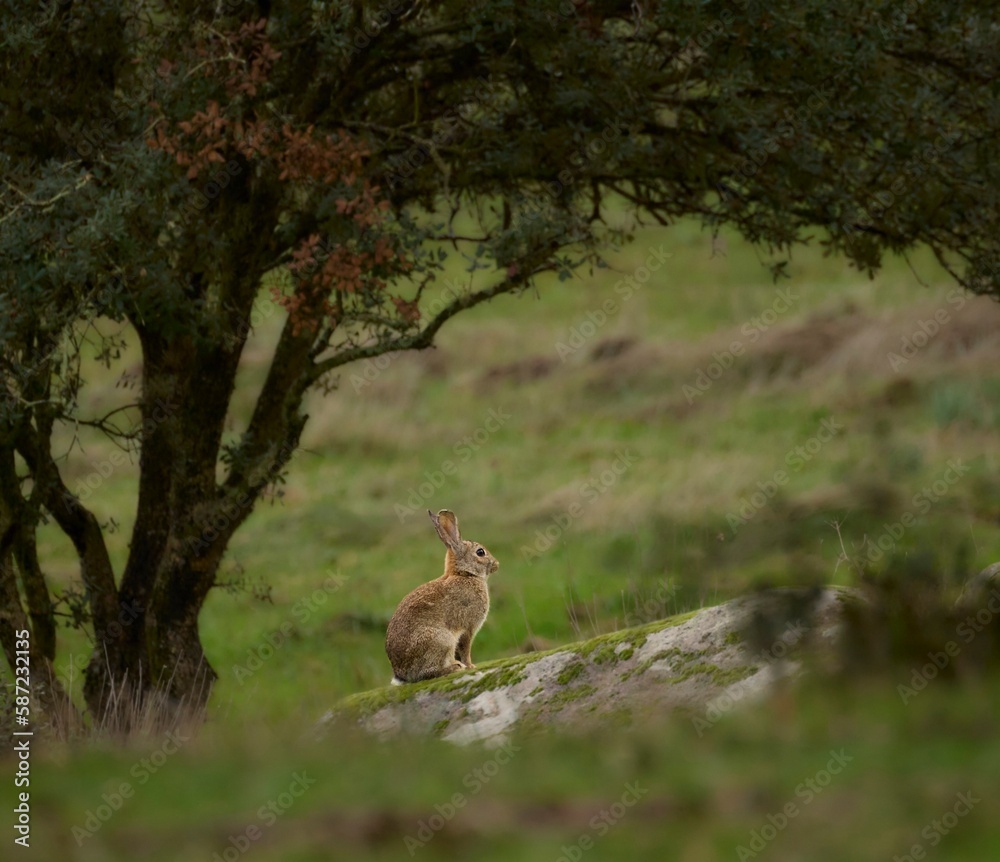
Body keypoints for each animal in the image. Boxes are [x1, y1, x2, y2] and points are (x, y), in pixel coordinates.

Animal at [385, 509, 499, 684]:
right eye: (480, 552)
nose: (496, 564)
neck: (464, 574)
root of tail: (401, 674)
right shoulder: (468, 628)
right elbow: (465, 650)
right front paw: (471, 666)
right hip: (442, 640)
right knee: (428, 673)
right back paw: (455, 667)